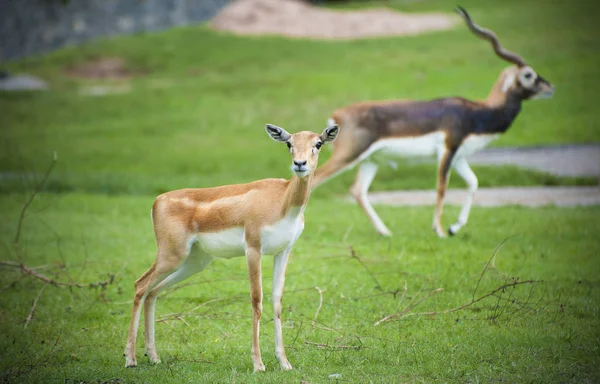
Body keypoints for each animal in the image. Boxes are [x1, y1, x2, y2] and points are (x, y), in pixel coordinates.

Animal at [124, 124, 340, 372]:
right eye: (289, 143)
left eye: (318, 143)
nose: (300, 163)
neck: (282, 201)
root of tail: (157, 201)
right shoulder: (253, 249)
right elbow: (257, 300)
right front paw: (258, 364)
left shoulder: (283, 251)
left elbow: (277, 301)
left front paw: (285, 363)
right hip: (171, 255)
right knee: (140, 286)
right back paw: (130, 358)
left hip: (194, 262)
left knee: (153, 292)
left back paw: (154, 356)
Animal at [314, 6, 552, 237]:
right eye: (529, 75)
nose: (550, 87)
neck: (476, 112)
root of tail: (337, 116)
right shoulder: (447, 149)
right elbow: (442, 188)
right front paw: (440, 230)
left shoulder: (459, 155)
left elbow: (473, 183)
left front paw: (454, 228)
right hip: (349, 155)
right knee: (316, 179)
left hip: (371, 160)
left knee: (357, 190)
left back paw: (385, 232)